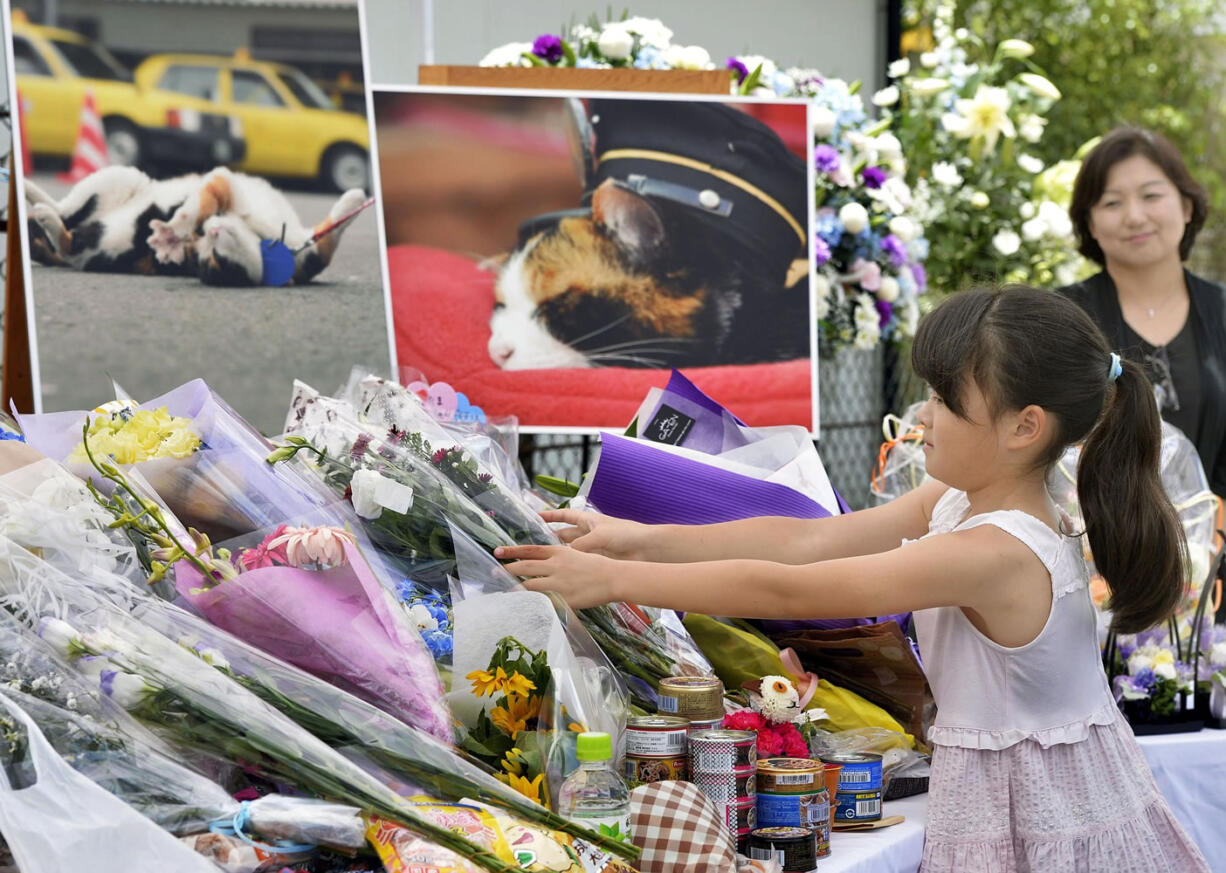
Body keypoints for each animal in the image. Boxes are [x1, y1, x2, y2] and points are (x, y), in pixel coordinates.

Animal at [23, 164, 362, 286]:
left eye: (213, 260)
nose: (210, 231)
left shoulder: (312, 249)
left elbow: (334, 229)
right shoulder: (221, 183)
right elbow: (202, 204)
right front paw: (174, 231)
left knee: (65, 237)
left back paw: (42, 217)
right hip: (121, 177)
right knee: (65, 211)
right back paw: (31, 196)